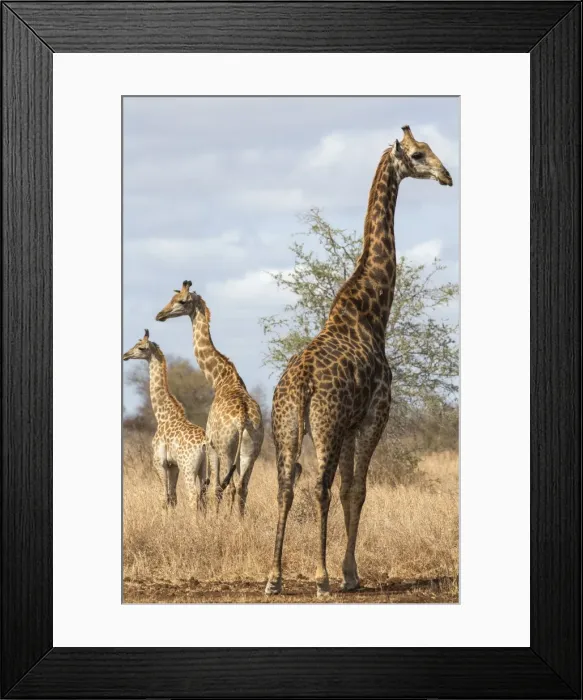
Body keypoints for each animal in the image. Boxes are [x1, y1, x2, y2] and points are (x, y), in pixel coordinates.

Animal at [123, 329, 207, 510]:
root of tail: (204, 444)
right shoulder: (172, 465)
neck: (163, 416)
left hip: (188, 467)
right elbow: (173, 498)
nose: (125, 355)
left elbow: (163, 498)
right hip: (205, 468)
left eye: (141, 347)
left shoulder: (159, 462)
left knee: (193, 496)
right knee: (204, 497)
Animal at [155, 282, 264, 515]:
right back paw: (240, 521)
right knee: (243, 487)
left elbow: (214, 487)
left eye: (182, 301)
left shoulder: (212, 445)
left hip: (225, 449)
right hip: (251, 450)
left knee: (228, 486)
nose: (160, 315)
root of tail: (243, 419)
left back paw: (227, 519)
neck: (220, 379)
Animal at [265, 126, 453, 596]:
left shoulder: (350, 425)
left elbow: (351, 486)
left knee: (285, 487)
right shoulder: (374, 414)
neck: (371, 310)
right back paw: (320, 578)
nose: (446, 175)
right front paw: (349, 574)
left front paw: (348, 571)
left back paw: (274, 578)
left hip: (286, 425)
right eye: (418, 154)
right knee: (320, 487)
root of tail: (301, 384)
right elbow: (358, 490)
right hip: (325, 424)